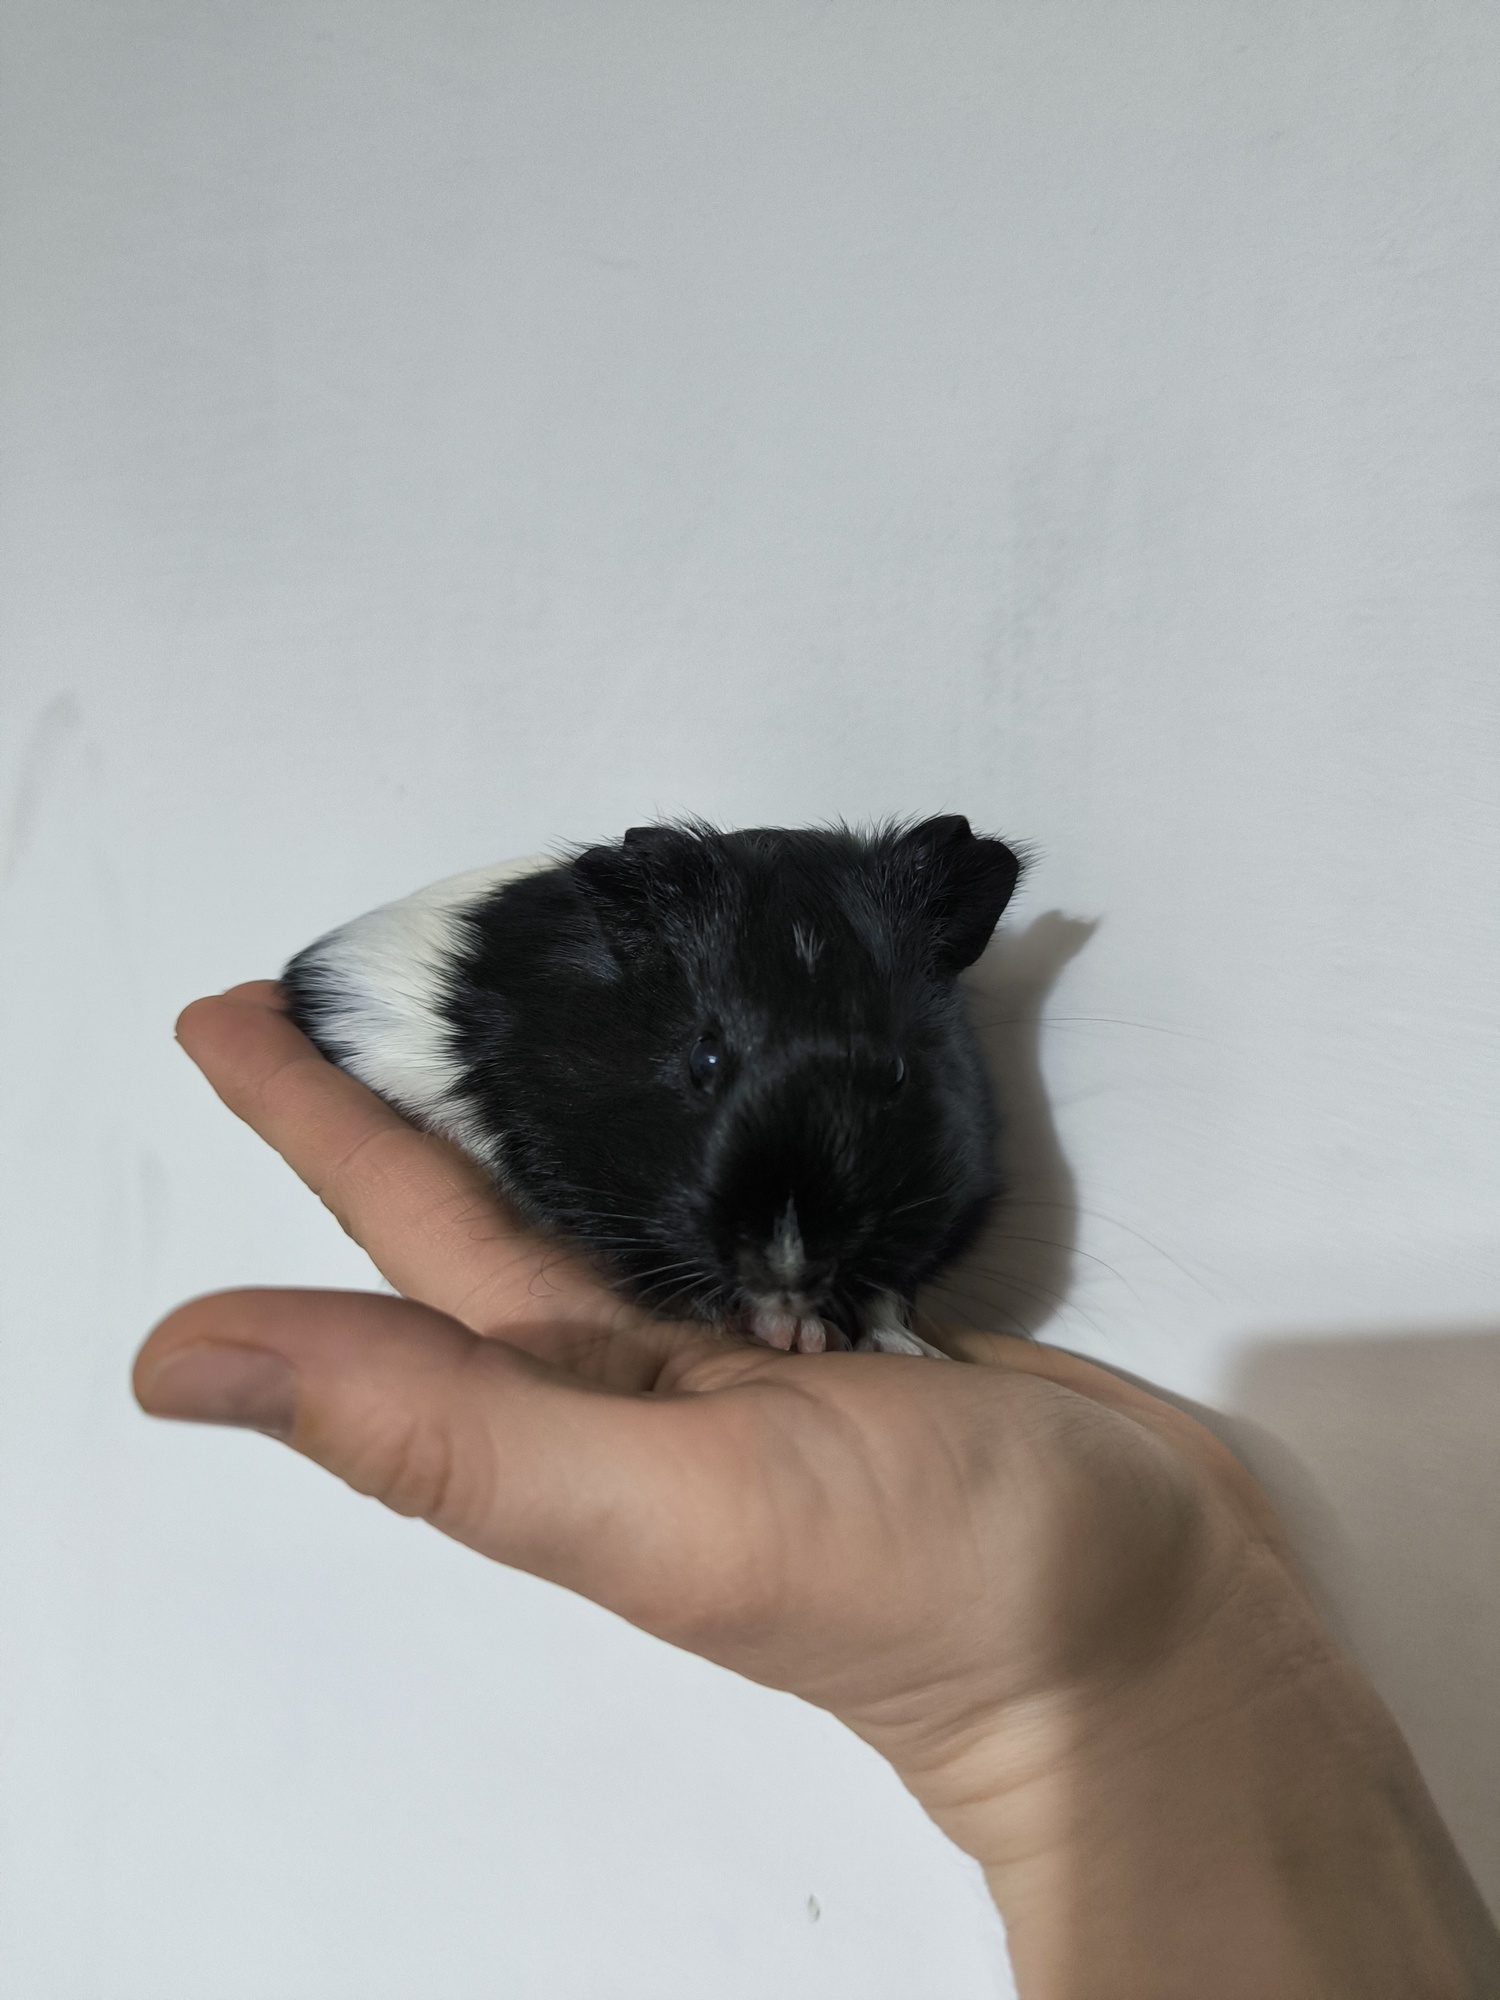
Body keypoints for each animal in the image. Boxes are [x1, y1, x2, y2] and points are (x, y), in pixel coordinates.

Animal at [281, 817, 1021, 1357]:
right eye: (704, 1059)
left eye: (898, 1071)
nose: (788, 1268)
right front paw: (795, 1333)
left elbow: (889, 1292)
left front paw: (903, 1348)